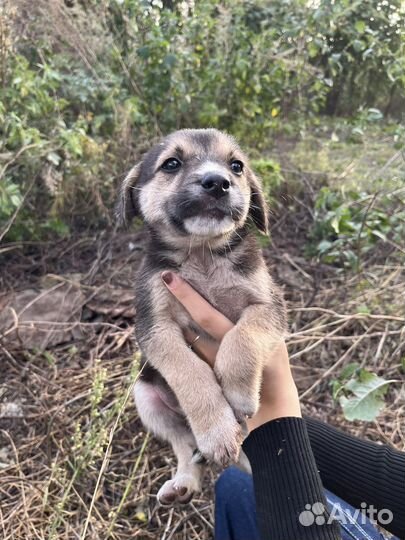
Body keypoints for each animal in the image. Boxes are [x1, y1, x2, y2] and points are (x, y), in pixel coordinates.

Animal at [118, 130, 286, 506]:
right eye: (171, 164)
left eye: (236, 166)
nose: (218, 183)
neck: (202, 253)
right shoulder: (155, 327)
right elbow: (190, 372)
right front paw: (217, 431)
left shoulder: (268, 305)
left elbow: (242, 337)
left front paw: (238, 391)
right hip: (146, 398)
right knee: (183, 443)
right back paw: (184, 480)